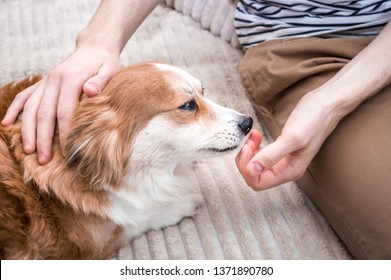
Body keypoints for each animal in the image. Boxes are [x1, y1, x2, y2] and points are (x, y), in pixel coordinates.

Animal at [0, 62, 254, 260]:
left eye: (203, 92)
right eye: (188, 105)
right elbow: (134, 220)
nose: (248, 122)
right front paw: (181, 204)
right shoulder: (90, 246)